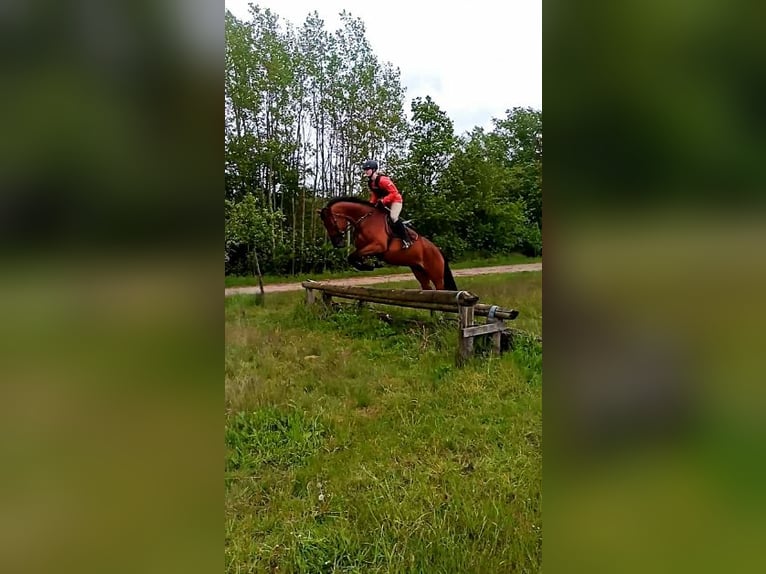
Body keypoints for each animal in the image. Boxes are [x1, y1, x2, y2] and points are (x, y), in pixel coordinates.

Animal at [316, 198, 456, 292]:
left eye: (331, 222)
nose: (337, 243)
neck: (365, 219)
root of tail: (438, 250)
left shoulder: (378, 246)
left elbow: (353, 256)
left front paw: (369, 266)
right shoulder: (365, 248)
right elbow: (353, 257)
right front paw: (369, 265)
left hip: (436, 275)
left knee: (441, 289)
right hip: (419, 271)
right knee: (427, 288)